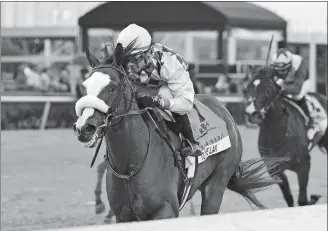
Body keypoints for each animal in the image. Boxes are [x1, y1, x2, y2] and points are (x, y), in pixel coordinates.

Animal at [73, 41, 286, 222]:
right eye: (84, 87)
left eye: (112, 87)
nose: (85, 127)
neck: (130, 165)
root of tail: (224, 110)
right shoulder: (124, 216)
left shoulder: (166, 210)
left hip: (217, 184)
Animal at [245, 67, 326, 208]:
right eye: (248, 87)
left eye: (268, 89)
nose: (251, 113)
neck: (279, 136)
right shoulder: (275, 170)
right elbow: (289, 197)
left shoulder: (304, 165)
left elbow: (302, 200)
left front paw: (313, 198)